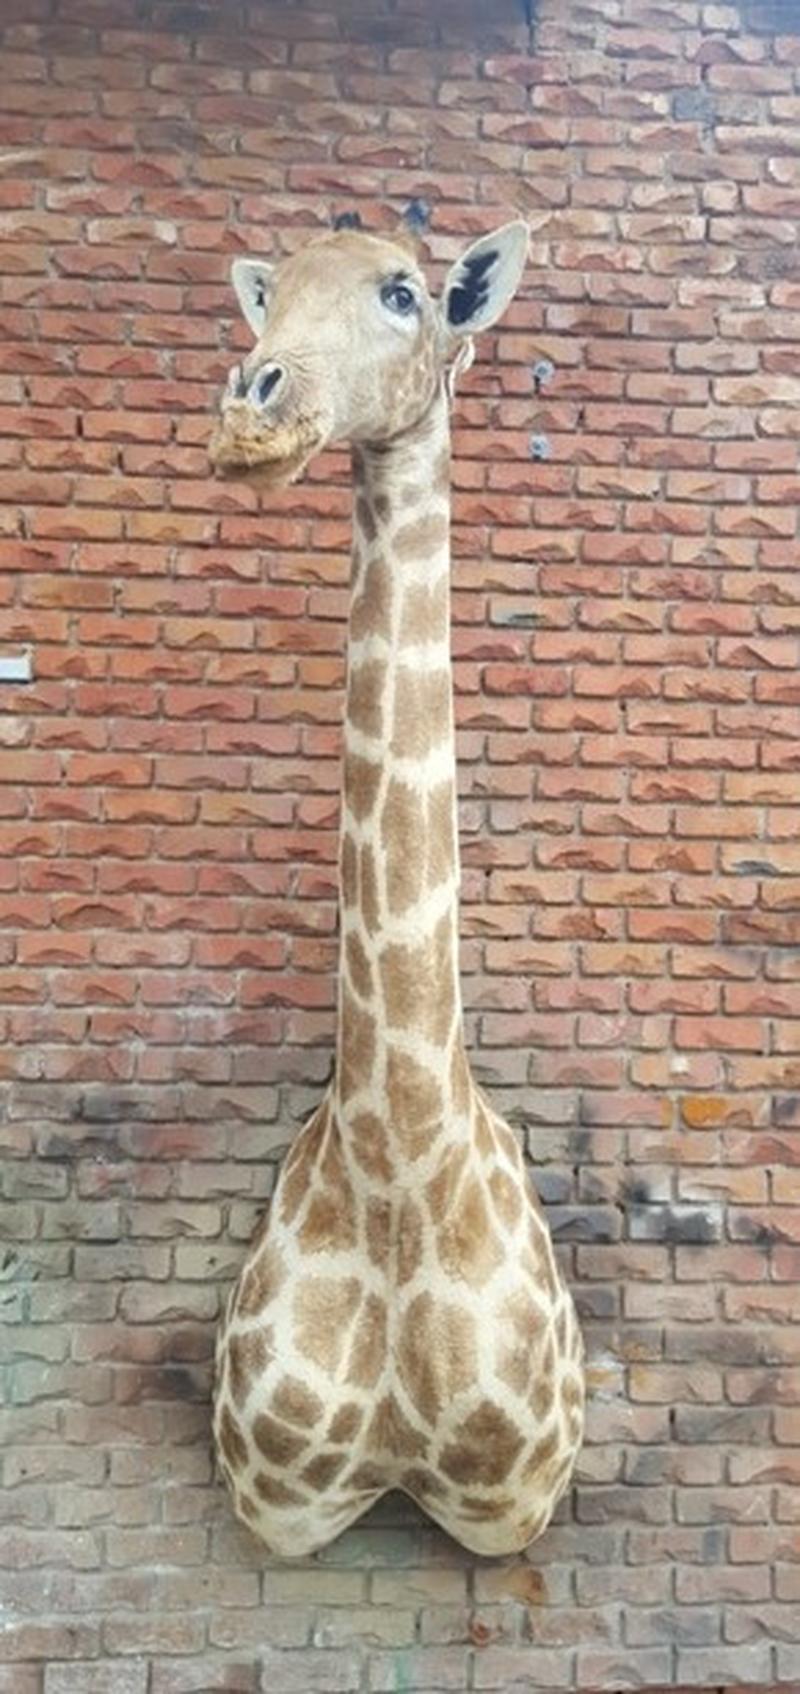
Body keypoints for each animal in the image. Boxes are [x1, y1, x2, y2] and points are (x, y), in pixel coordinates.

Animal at [207, 212, 585, 1559]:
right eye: (272, 293)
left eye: (402, 293)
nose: (251, 413)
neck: (394, 1162)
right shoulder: (279, 1507)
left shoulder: (509, 1508)